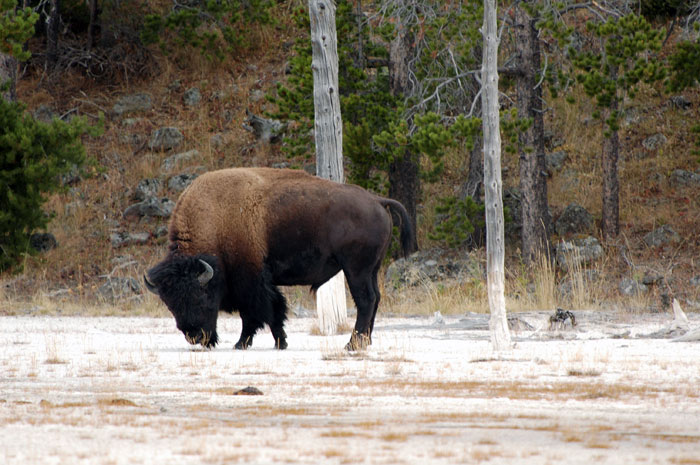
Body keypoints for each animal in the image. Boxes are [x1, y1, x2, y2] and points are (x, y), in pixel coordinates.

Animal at [144, 167, 412, 348]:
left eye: (201, 297)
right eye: (170, 304)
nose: (196, 337)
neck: (217, 221)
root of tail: (376, 200)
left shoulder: (250, 281)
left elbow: (257, 313)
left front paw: (242, 343)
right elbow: (273, 310)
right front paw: (279, 342)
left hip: (356, 270)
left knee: (366, 301)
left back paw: (352, 344)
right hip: (371, 270)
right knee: (375, 298)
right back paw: (366, 341)